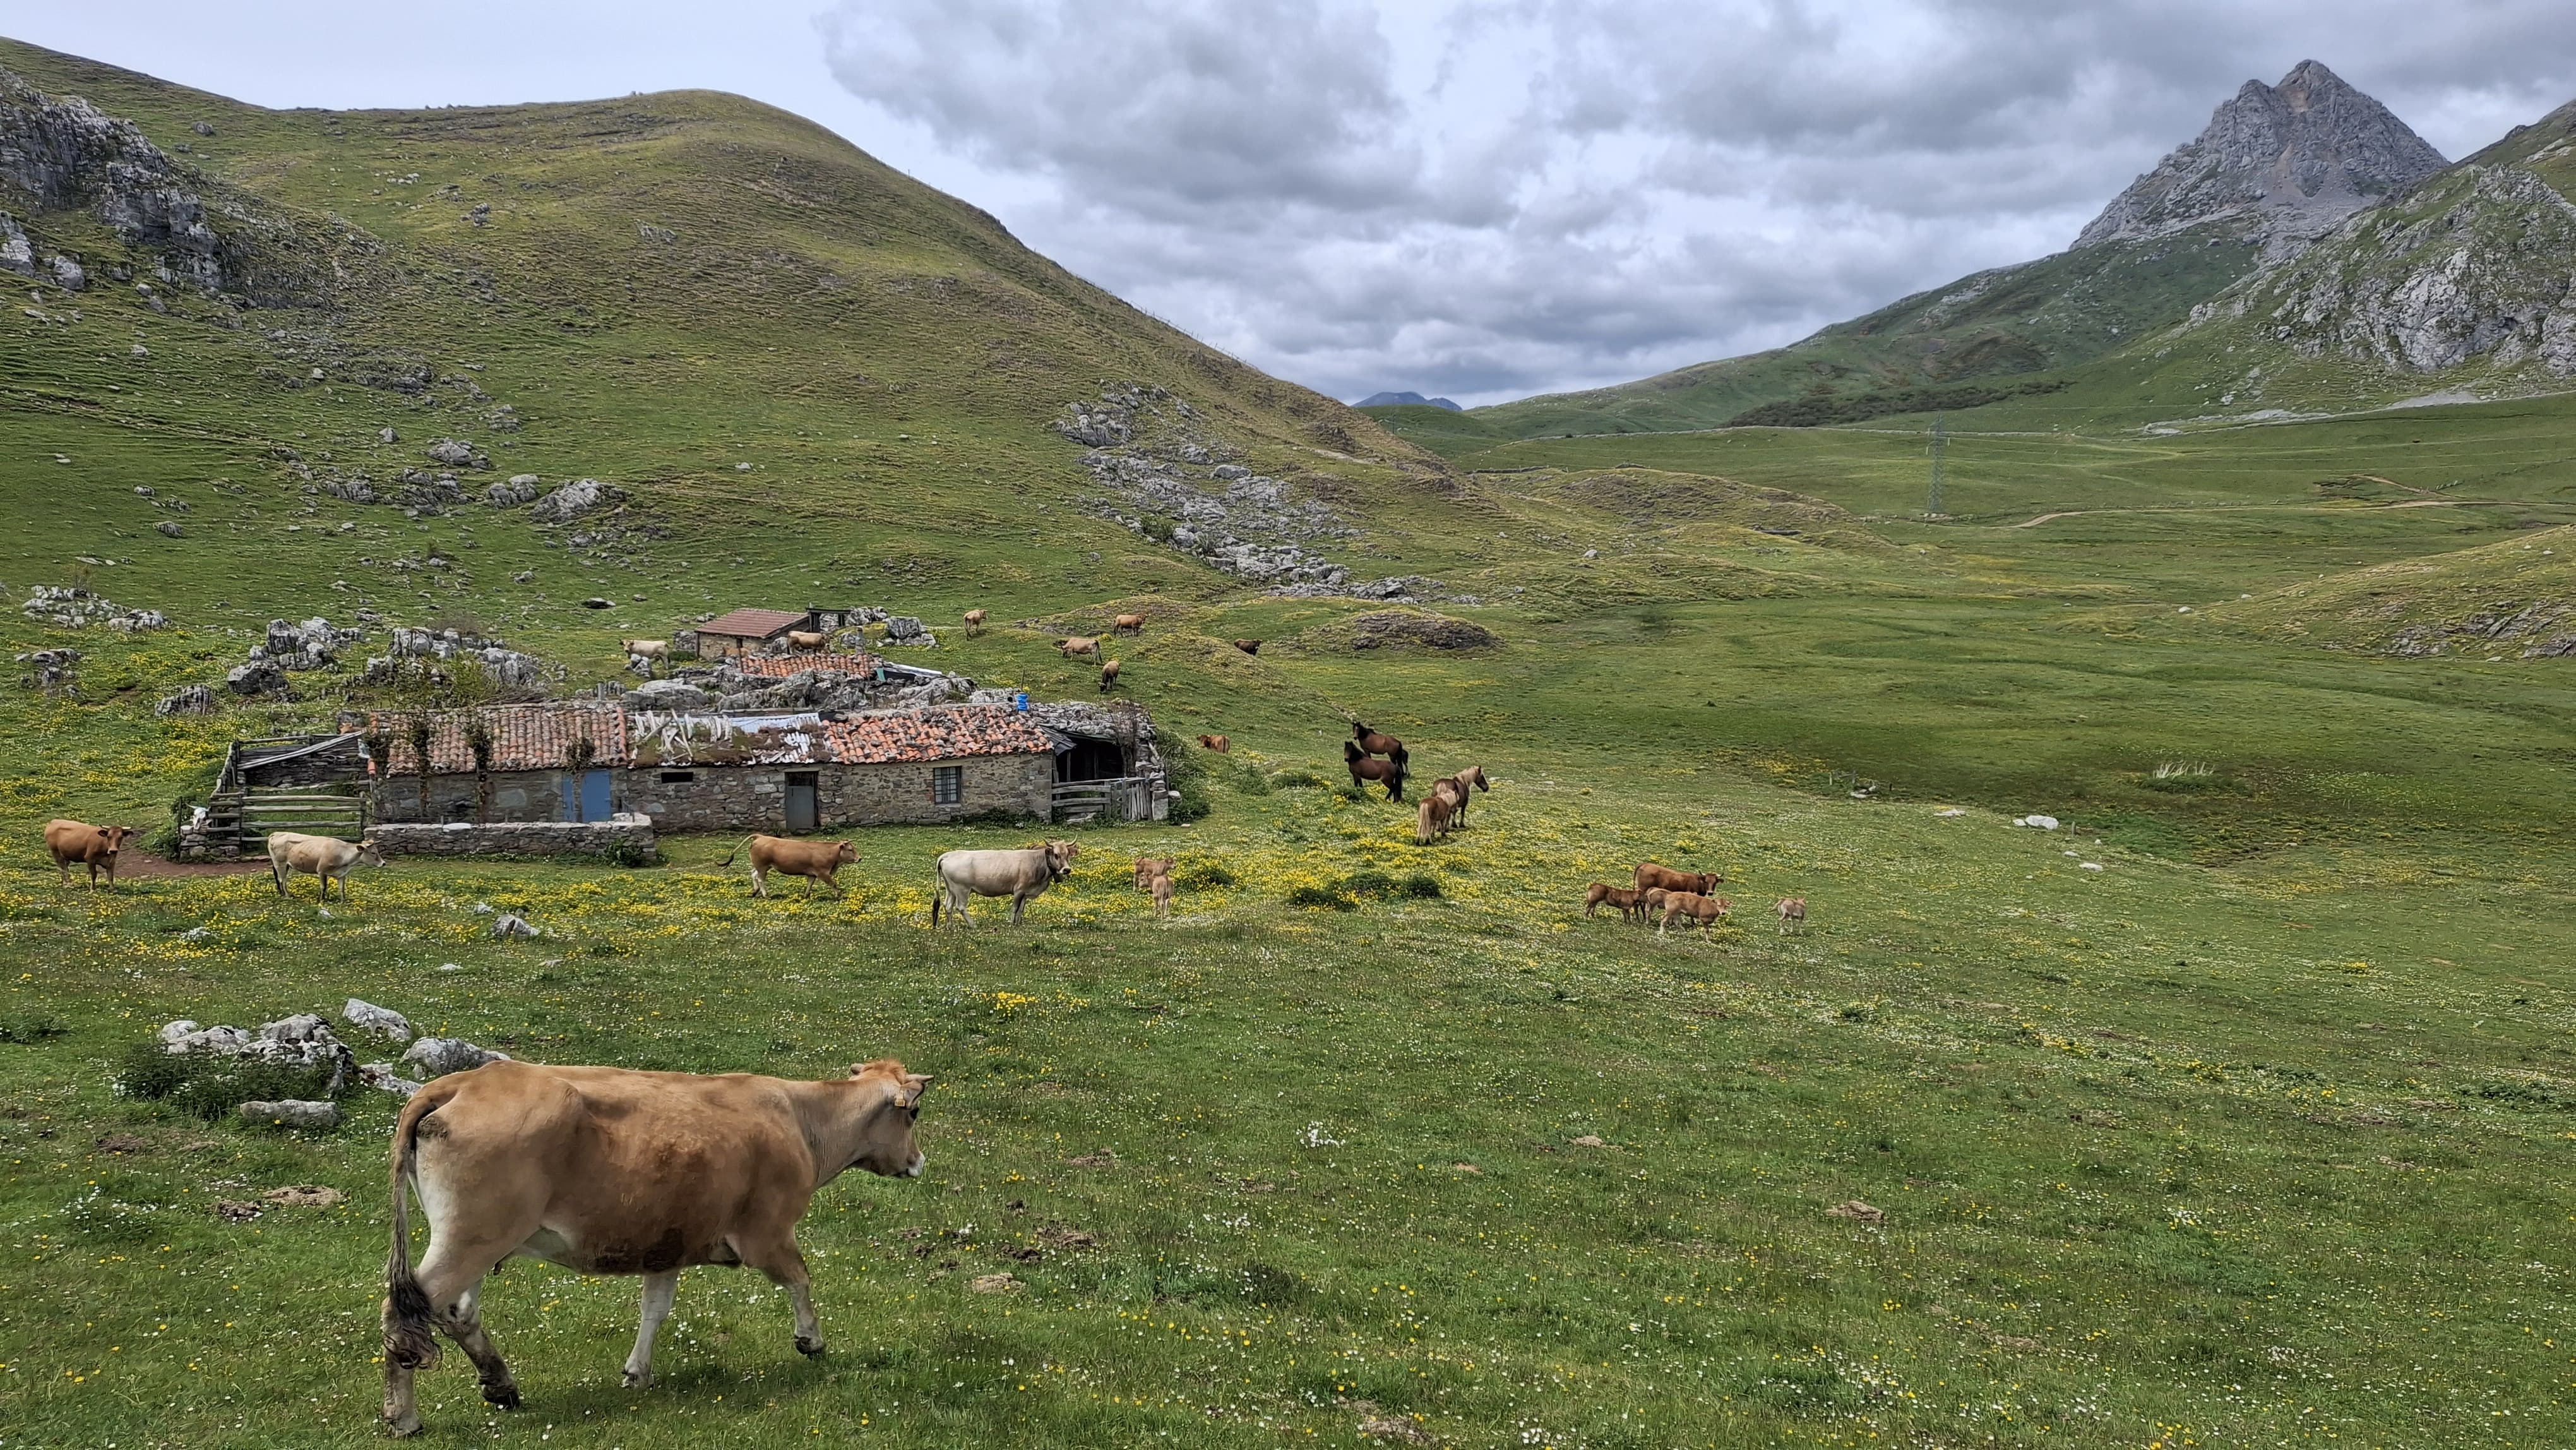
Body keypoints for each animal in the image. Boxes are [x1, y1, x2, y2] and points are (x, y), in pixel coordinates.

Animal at [46, 818, 133, 890]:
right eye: (108, 837)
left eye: (121, 837)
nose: (113, 850)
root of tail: (54, 821)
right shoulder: (90, 859)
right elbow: (94, 875)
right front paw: (93, 889)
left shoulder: (112, 861)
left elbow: (110, 876)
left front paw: (112, 889)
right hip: (56, 852)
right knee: (63, 867)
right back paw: (68, 884)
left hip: (65, 855)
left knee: (65, 867)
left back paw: (66, 883)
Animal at [266, 831, 388, 903]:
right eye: (373, 853)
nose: (383, 863)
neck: (342, 853)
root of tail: (276, 833)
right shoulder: (322, 871)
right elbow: (323, 887)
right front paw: (322, 900)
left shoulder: (342, 874)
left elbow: (342, 888)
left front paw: (343, 901)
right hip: (280, 864)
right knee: (283, 880)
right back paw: (287, 896)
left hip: (285, 865)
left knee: (279, 880)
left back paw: (282, 894)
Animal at [379, 1057, 930, 1436]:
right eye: (914, 1114)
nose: (919, 1163)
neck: (800, 1119)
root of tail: (462, 1082)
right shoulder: (768, 1234)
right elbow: (800, 1280)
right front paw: (810, 1340)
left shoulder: (670, 1243)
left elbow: (655, 1310)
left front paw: (637, 1372)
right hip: (470, 1237)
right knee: (405, 1313)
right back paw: (404, 1417)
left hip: (479, 1240)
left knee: (458, 1313)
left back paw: (501, 1384)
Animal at [717, 835, 857, 898]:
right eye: (850, 849)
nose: (859, 858)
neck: (828, 852)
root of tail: (761, 836)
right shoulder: (823, 873)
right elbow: (834, 884)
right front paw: (839, 896)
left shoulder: (812, 874)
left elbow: (810, 884)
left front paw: (806, 896)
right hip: (762, 867)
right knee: (761, 879)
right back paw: (766, 895)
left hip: (762, 866)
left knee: (754, 874)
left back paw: (754, 891)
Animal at [931, 841, 1079, 926]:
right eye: (1056, 855)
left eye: (1068, 855)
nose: (1067, 869)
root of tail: (947, 855)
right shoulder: (1018, 890)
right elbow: (1015, 908)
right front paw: (1011, 924)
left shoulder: (1025, 893)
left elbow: (1021, 910)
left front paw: (1018, 924)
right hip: (962, 890)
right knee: (960, 907)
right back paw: (973, 925)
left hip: (951, 889)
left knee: (948, 906)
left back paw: (951, 927)